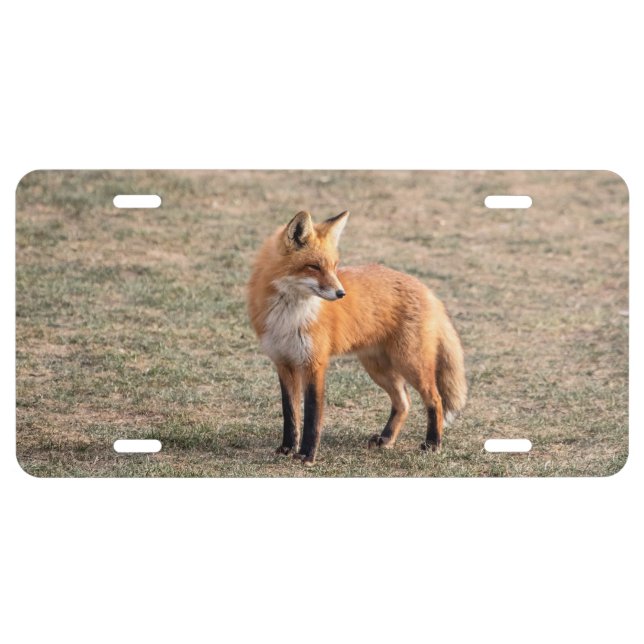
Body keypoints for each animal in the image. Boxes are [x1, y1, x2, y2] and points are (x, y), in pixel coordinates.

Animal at [247, 210, 467, 466]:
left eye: (334, 266)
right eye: (313, 267)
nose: (341, 293)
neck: (289, 316)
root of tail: (427, 290)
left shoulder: (315, 364)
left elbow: (312, 415)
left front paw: (307, 454)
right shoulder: (284, 363)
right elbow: (290, 413)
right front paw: (287, 448)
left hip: (410, 363)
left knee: (435, 399)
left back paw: (432, 443)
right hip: (378, 368)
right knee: (404, 402)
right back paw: (386, 439)